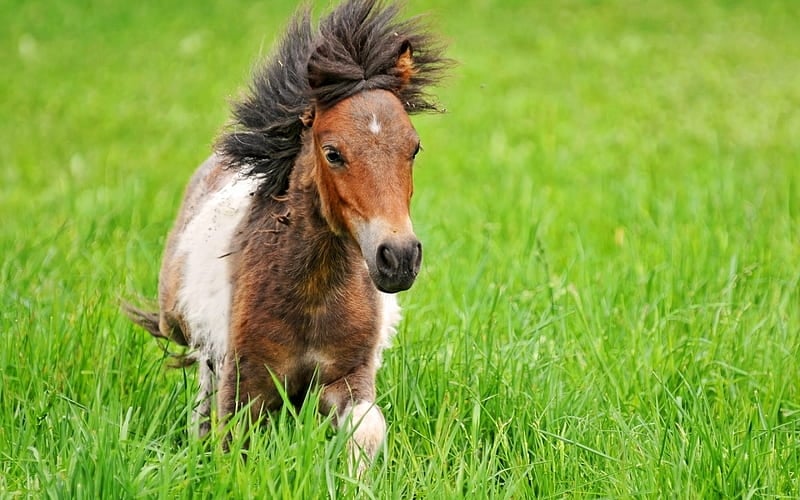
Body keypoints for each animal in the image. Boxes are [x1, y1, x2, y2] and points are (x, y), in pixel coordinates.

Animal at [124, 0, 449, 468]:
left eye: (414, 148)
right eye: (333, 153)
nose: (400, 257)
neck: (312, 295)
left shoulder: (347, 378)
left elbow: (367, 430)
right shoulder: (247, 389)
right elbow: (230, 442)